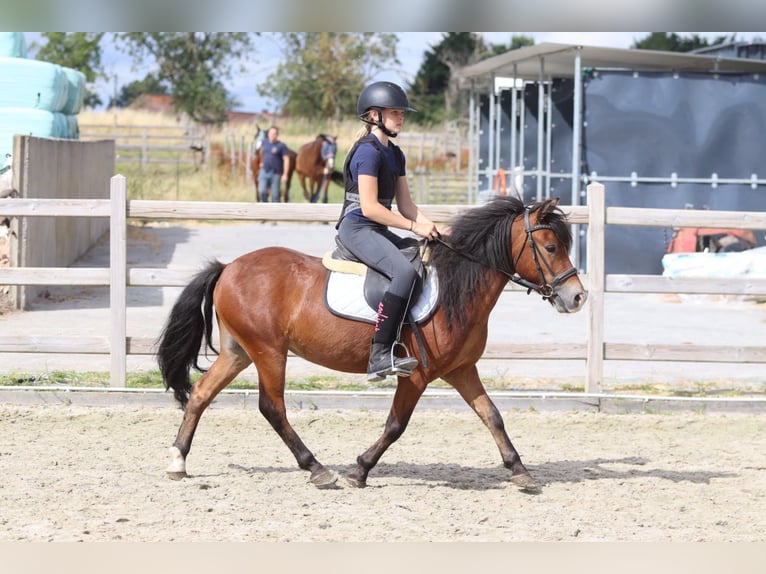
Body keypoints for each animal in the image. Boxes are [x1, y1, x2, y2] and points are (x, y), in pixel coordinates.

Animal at [157, 196, 587, 490]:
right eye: (551, 247)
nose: (577, 297)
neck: (457, 288)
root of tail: (228, 267)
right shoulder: (417, 375)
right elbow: (396, 424)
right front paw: (359, 470)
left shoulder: (462, 370)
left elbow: (492, 415)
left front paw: (520, 470)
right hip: (268, 352)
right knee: (272, 408)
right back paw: (317, 468)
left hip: (239, 352)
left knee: (201, 394)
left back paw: (178, 462)